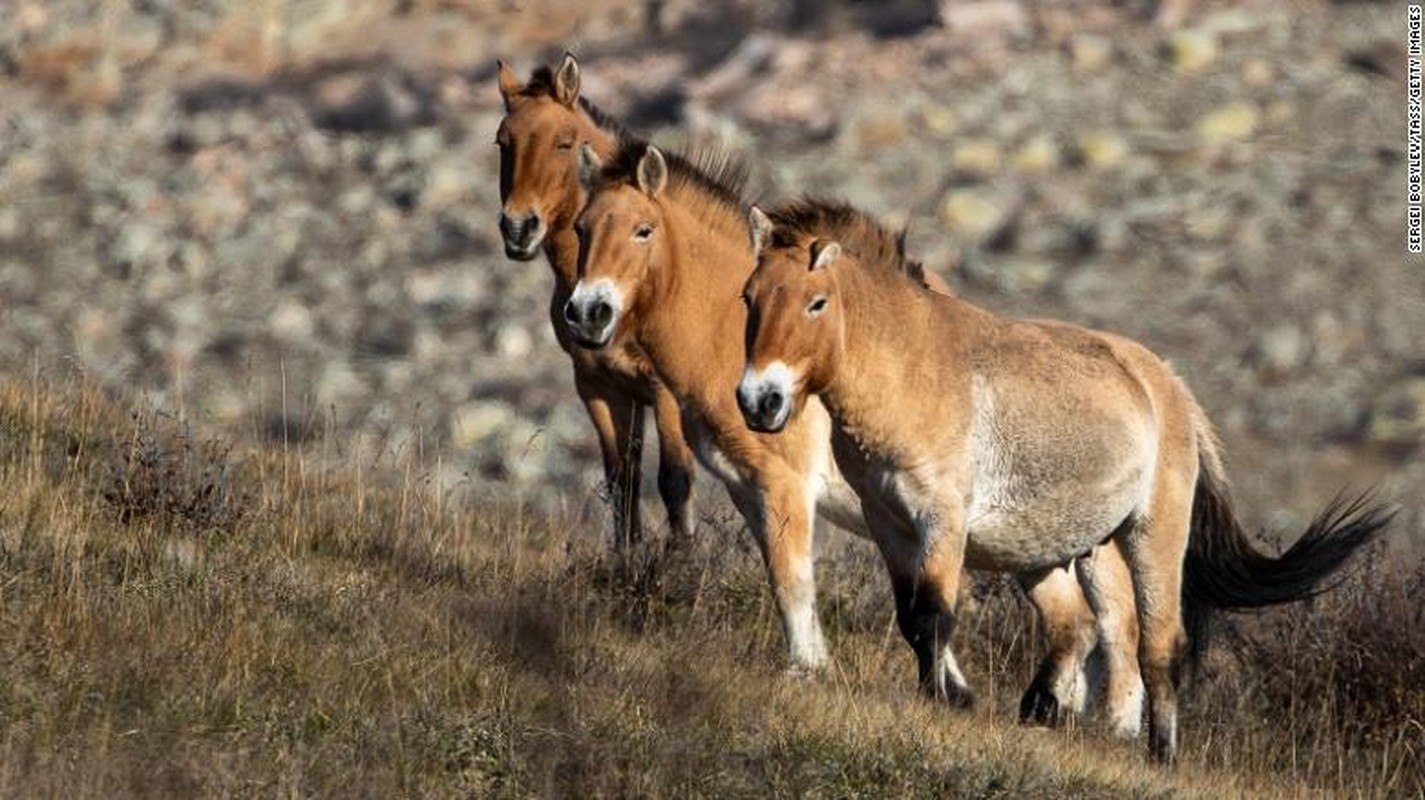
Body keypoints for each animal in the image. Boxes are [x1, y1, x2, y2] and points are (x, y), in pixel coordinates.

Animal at [495, 53, 695, 544]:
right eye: (502, 142)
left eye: (564, 142)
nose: (518, 228)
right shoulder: (600, 387)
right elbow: (622, 481)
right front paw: (627, 558)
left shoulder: (664, 393)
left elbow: (674, 480)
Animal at [567, 139, 1145, 730]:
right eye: (581, 228)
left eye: (642, 229)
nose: (588, 313)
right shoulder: (749, 488)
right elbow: (795, 578)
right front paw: (948, 688)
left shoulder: (786, 485)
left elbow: (793, 578)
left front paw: (808, 668)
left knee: (1120, 624)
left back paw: (1116, 727)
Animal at [735, 198, 1390, 758]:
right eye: (748, 297)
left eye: (817, 302)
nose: (759, 401)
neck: (914, 369)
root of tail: (1172, 388)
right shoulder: (889, 524)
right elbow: (913, 620)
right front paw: (950, 698)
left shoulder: (941, 520)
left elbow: (936, 615)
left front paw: (939, 704)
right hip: (1058, 549)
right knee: (1077, 623)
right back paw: (1044, 708)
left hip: (1151, 536)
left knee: (1157, 645)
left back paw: (1158, 752)